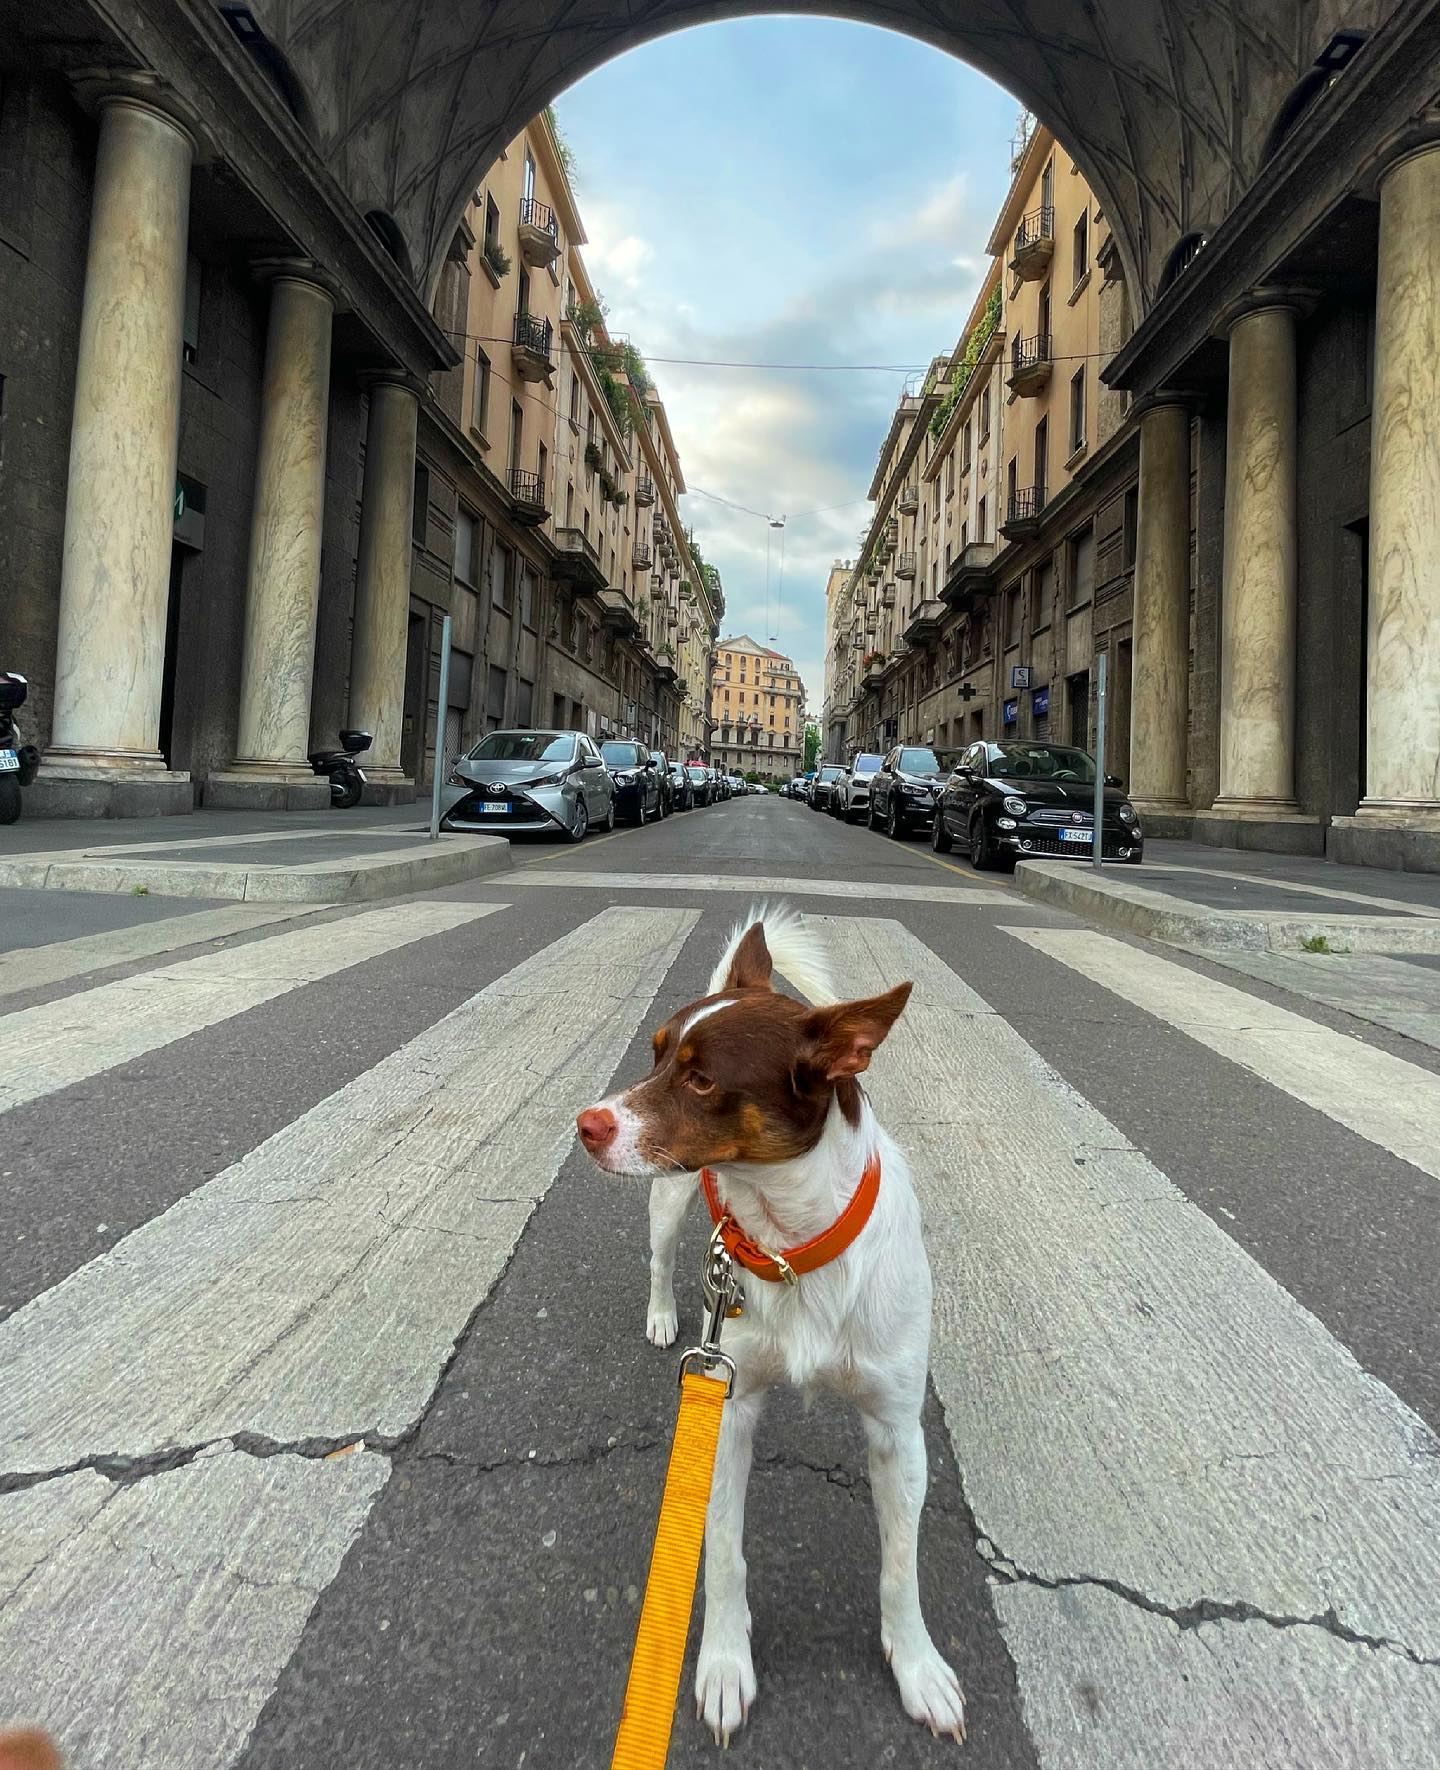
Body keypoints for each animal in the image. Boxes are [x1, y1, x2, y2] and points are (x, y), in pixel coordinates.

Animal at [576, 913, 969, 1741]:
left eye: (701, 1079)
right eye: (655, 1054)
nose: (585, 1123)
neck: (790, 1242)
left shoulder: (897, 1432)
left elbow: (900, 1568)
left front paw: (918, 1667)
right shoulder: (727, 1405)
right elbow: (723, 1555)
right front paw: (725, 1663)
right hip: (670, 1200)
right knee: (659, 1257)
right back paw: (662, 1314)